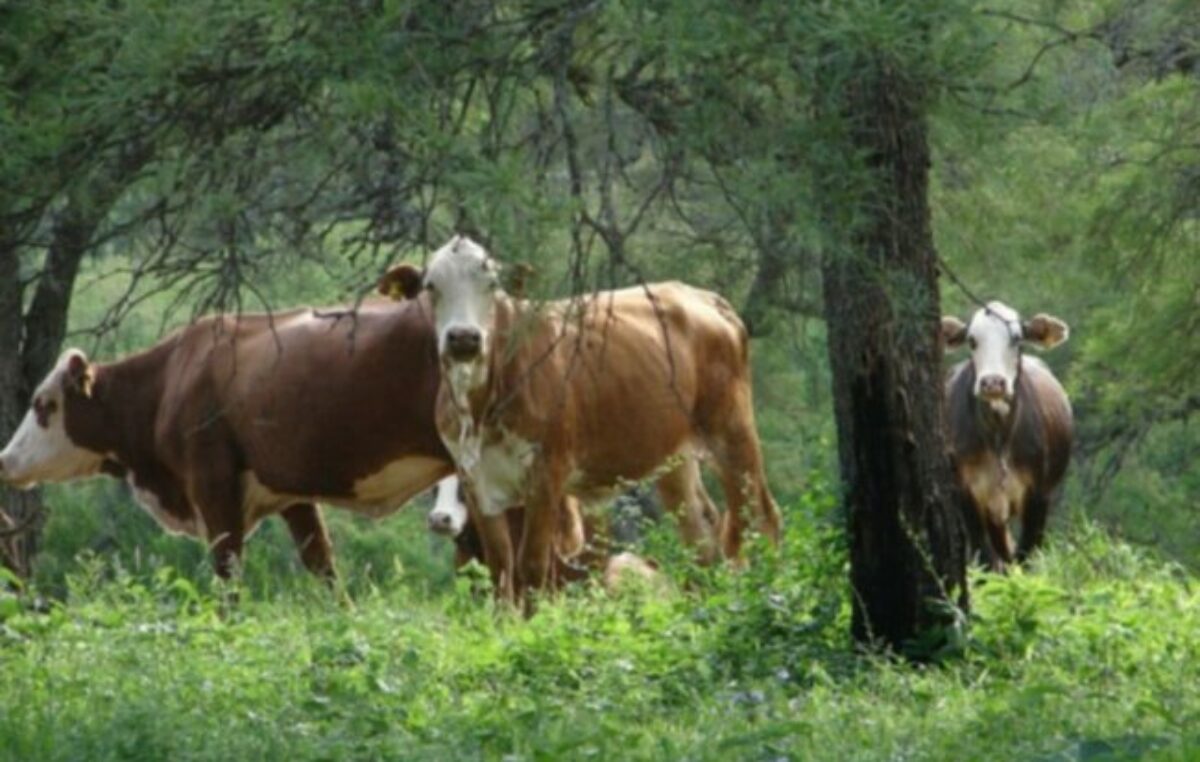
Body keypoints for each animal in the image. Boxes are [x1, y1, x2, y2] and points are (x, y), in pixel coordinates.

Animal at [0, 297, 453, 578]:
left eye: (43, 404)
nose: (5, 460)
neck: (171, 380)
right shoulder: (291, 495)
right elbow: (322, 564)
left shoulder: (212, 487)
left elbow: (227, 569)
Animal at [379, 234, 782, 602]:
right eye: (432, 286)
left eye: (491, 285)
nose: (464, 338)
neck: (479, 411)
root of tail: (705, 298)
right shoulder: (476, 478)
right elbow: (500, 568)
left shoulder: (546, 474)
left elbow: (532, 566)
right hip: (674, 458)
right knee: (700, 538)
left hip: (732, 434)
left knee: (762, 517)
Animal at [940, 301, 1075, 568]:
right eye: (972, 340)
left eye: (1017, 338)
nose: (993, 383)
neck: (998, 437)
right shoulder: (966, 495)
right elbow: (985, 557)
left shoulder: (1039, 496)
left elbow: (1026, 556)